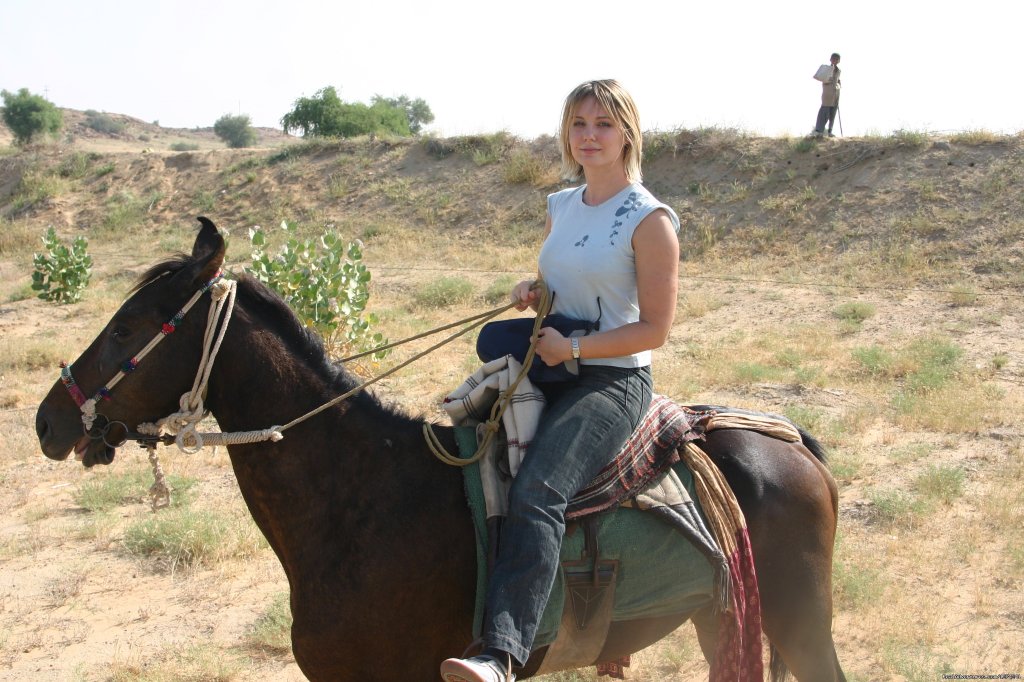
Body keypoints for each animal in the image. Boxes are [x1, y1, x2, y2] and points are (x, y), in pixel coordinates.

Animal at [34, 219, 847, 679]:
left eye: (128, 327)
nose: (48, 420)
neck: (362, 501)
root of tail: (792, 444)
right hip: (724, 617)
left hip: (798, 618)